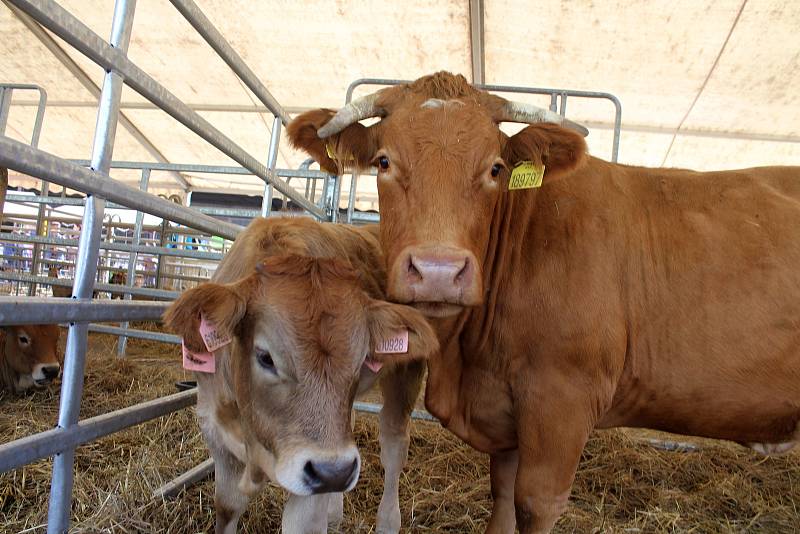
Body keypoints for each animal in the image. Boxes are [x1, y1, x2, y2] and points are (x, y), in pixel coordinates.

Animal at [163, 219, 438, 534]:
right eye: (265, 357)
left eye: (361, 360)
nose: (335, 473)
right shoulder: (215, 432)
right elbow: (227, 507)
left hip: (406, 375)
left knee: (394, 447)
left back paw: (387, 522)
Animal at [290, 72, 800, 534]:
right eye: (383, 161)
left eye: (495, 168)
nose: (438, 270)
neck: (467, 359)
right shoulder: (510, 418)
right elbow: (502, 501)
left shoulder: (563, 400)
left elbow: (535, 504)